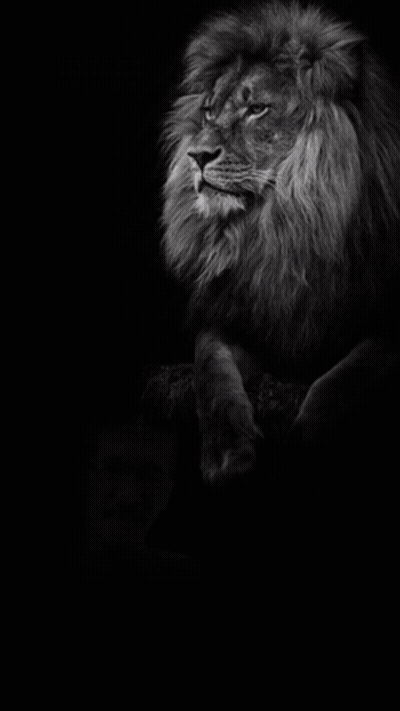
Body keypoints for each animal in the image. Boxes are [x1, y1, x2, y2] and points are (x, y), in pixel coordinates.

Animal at [162, 1, 400, 484]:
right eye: (209, 110)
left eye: (257, 108)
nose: (196, 155)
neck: (283, 230)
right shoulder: (238, 315)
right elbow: (210, 368)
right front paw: (226, 452)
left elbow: (346, 377)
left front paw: (309, 440)